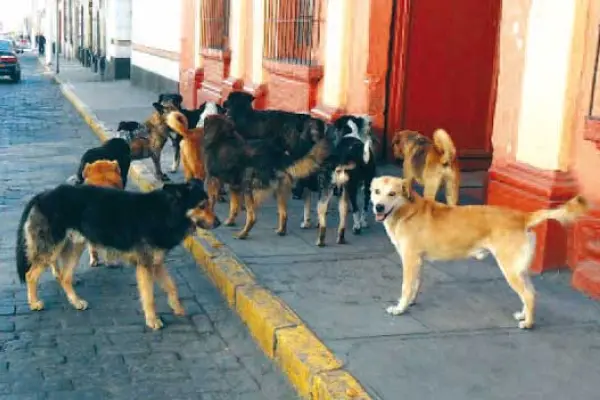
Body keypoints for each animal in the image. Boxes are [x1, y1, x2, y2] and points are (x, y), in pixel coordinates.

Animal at [15, 182, 220, 332]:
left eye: (209, 204)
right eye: (201, 206)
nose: (219, 223)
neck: (166, 212)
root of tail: (43, 194)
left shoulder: (156, 263)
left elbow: (172, 287)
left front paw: (177, 307)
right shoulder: (146, 265)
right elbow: (149, 297)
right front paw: (152, 320)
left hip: (75, 247)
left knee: (64, 277)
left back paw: (76, 302)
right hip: (51, 250)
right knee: (31, 275)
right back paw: (34, 303)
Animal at [372, 177, 588, 330]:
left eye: (392, 194)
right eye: (376, 191)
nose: (378, 207)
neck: (407, 210)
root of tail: (522, 217)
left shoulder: (410, 260)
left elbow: (406, 287)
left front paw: (400, 308)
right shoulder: (418, 261)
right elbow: (415, 285)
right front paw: (410, 302)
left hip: (510, 270)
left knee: (528, 295)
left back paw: (528, 324)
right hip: (519, 270)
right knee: (532, 293)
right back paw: (524, 315)